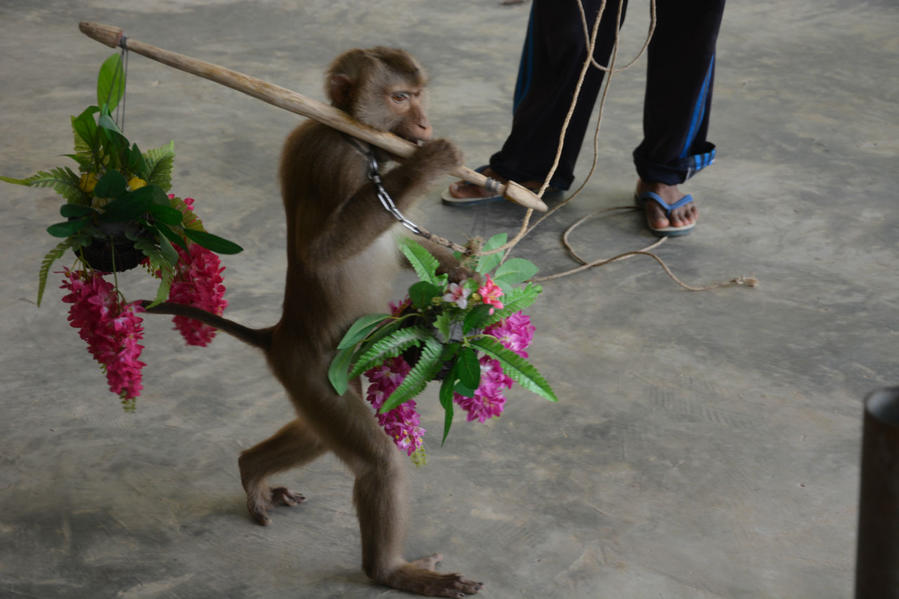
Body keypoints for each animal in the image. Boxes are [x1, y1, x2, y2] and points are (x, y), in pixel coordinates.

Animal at [143, 48, 486, 599]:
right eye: (401, 97)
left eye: (419, 95)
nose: (424, 123)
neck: (357, 138)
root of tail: (278, 335)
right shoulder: (334, 159)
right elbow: (323, 251)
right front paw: (428, 164)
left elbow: (402, 246)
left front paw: (470, 278)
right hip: (311, 373)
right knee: (375, 460)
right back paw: (389, 571)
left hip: (331, 376)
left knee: (316, 434)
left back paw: (252, 470)